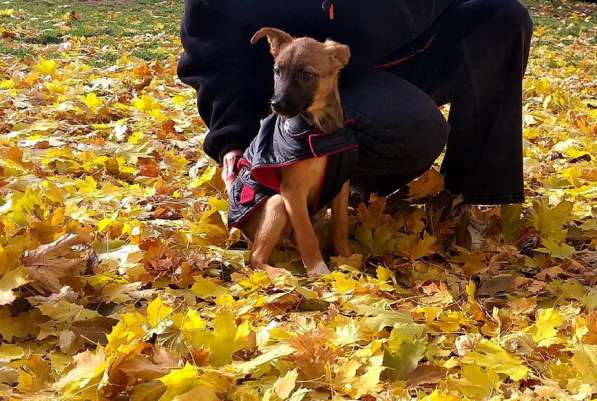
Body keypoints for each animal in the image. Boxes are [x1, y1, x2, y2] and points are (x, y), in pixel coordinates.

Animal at [226, 28, 352, 276]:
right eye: (277, 71)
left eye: (306, 75)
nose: (275, 105)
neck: (320, 131)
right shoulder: (292, 191)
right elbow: (307, 234)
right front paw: (318, 270)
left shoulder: (340, 184)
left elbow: (341, 226)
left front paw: (348, 261)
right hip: (275, 203)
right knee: (255, 257)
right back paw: (281, 274)